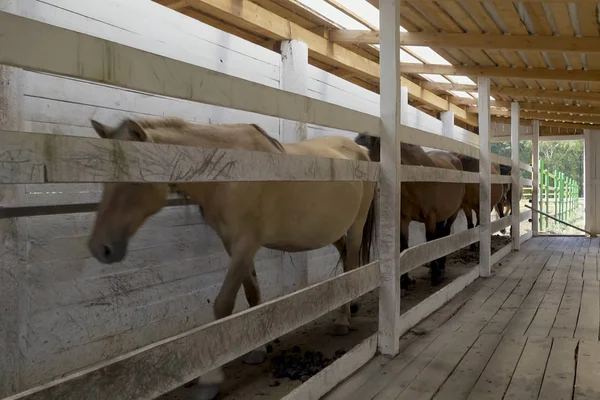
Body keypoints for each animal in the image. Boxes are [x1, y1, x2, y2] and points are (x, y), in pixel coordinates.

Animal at [86, 116, 378, 400]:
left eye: (134, 178)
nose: (100, 247)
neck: (231, 175)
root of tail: (361, 150)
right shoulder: (233, 245)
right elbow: (252, 295)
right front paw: (257, 349)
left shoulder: (245, 244)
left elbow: (223, 305)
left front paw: (210, 380)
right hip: (334, 230)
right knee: (346, 260)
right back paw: (349, 306)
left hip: (355, 226)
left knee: (351, 264)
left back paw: (342, 320)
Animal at [354, 134, 466, 290]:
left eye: (364, 152)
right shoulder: (403, 219)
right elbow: (404, 245)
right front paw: (404, 281)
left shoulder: (430, 217)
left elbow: (429, 241)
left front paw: (436, 275)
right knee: (440, 235)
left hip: (452, 214)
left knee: (445, 233)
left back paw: (441, 266)